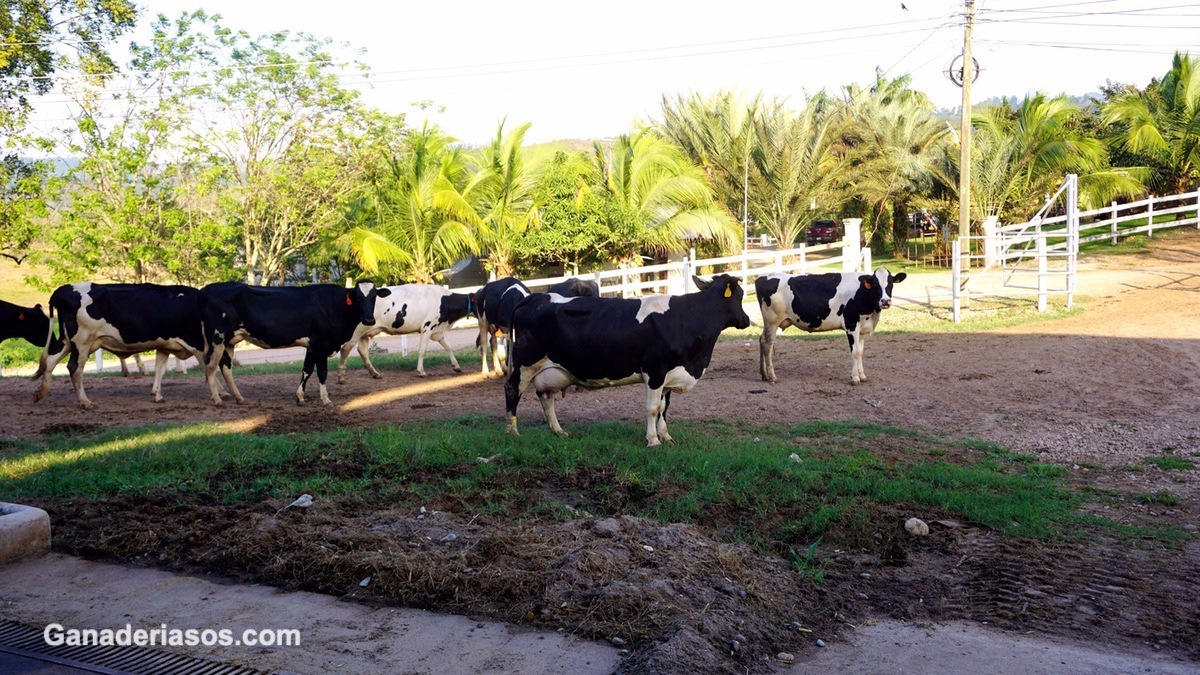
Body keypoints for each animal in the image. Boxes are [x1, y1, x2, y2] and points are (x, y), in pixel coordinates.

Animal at [31, 282, 208, 408]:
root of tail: (62, 289)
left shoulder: (164, 345)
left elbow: (160, 369)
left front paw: (157, 395)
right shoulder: (199, 345)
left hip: (67, 341)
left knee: (50, 361)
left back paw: (40, 393)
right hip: (82, 342)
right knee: (74, 368)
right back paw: (85, 402)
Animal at [198, 279, 374, 403]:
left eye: (374, 297)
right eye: (358, 297)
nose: (369, 320)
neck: (334, 305)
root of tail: (207, 289)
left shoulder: (311, 346)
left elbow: (307, 370)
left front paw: (300, 397)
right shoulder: (321, 344)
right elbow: (322, 372)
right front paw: (325, 399)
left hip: (228, 341)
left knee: (225, 367)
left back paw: (239, 398)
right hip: (217, 338)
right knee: (210, 365)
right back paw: (217, 399)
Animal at [336, 282, 475, 381]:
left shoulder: (438, 331)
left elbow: (448, 347)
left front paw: (456, 366)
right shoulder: (427, 327)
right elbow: (422, 350)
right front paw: (421, 371)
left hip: (365, 333)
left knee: (362, 351)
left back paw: (375, 373)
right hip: (356, 332)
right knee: (346, 349)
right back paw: (341, 377)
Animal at [499, 273, 744, 446]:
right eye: (740, 296)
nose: (746, 319)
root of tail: (536, 297)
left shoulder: (670, 375)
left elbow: (664, 408)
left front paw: (666, 437)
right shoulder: (655, 371)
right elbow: (653, 408)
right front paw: (653, 440)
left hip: (549, 370)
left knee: (546, 397)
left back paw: (558, 431)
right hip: (525, 363)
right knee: (512, 388)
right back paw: (512, 431)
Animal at [753, 266, 902, 384]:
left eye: (891, 283)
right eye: (875, 284)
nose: (885, 301)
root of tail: (763, 276)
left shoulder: (862, 329)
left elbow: (860, 352)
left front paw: (862, 376)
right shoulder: (851, 325)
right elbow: (854, 352)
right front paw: (855, 378)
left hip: (769, 323)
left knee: (761, 339)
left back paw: (763, 374)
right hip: (772, 321)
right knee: (768, 344)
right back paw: (772, 376)